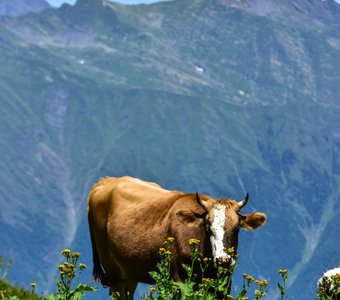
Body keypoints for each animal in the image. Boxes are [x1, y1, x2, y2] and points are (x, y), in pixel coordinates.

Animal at [86, 176, 266, 298]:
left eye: (236, 228)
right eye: (208, 228)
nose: (223, 260)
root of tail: (104, 182)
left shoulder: (224, 282)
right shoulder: (180, 281)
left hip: (130, 270)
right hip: (113, 271)